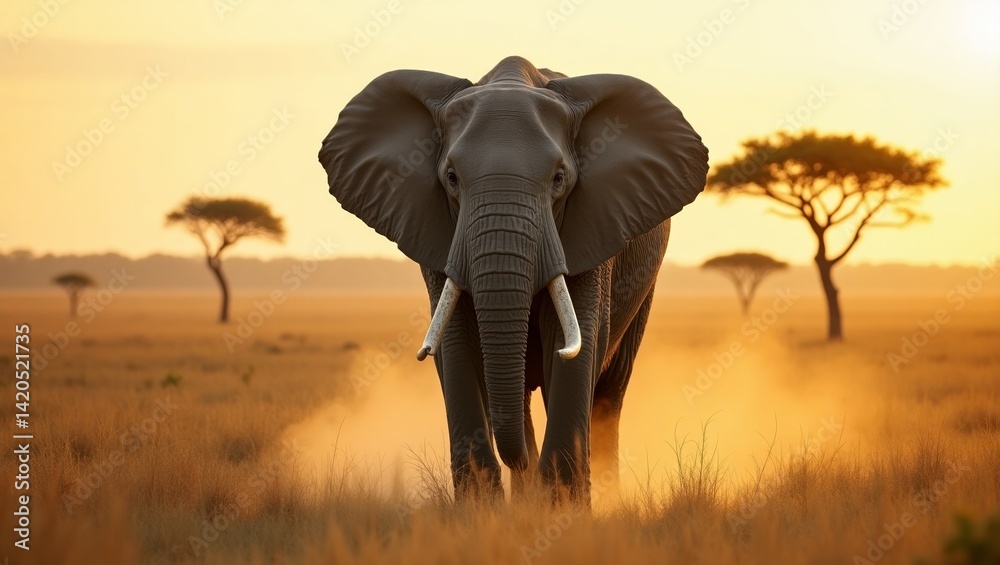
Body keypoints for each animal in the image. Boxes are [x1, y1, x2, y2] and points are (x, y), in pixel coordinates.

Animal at [318, 56, 708, 504]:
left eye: (559, 179)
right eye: (451, 178)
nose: (522, 463)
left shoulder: (593, 227)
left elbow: (577, 342)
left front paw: (563, 511)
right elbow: (456, 346)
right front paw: (482, 512)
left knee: (608, 394)